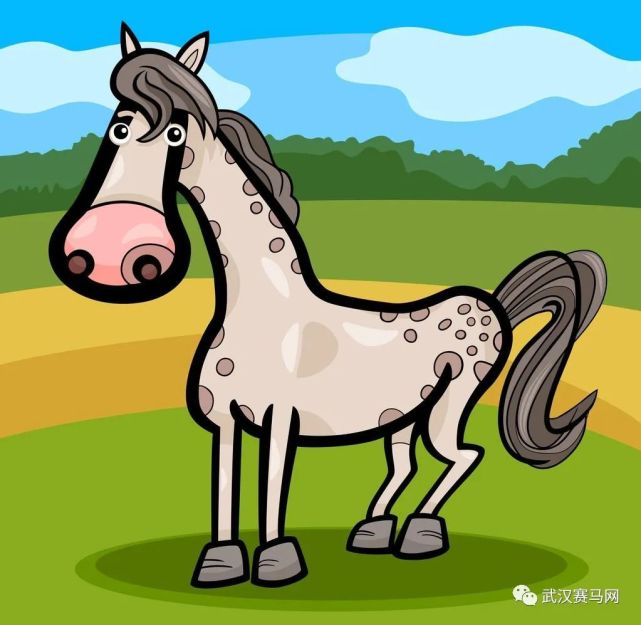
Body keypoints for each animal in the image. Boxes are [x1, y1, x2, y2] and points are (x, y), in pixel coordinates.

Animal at [49, 24, 607, 588]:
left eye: (175, 134)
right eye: (119, 127)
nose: (109, 254)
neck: (264, 308)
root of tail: (492, 306)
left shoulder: (279, 419)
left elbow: (272, 487)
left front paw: (277, 564)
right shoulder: (225, 422)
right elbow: (225, 486)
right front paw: (220, 565)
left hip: (451, 405)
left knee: (464, 455)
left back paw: (420, 535)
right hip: (401, 416)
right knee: (404, 466)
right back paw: (372, 533)